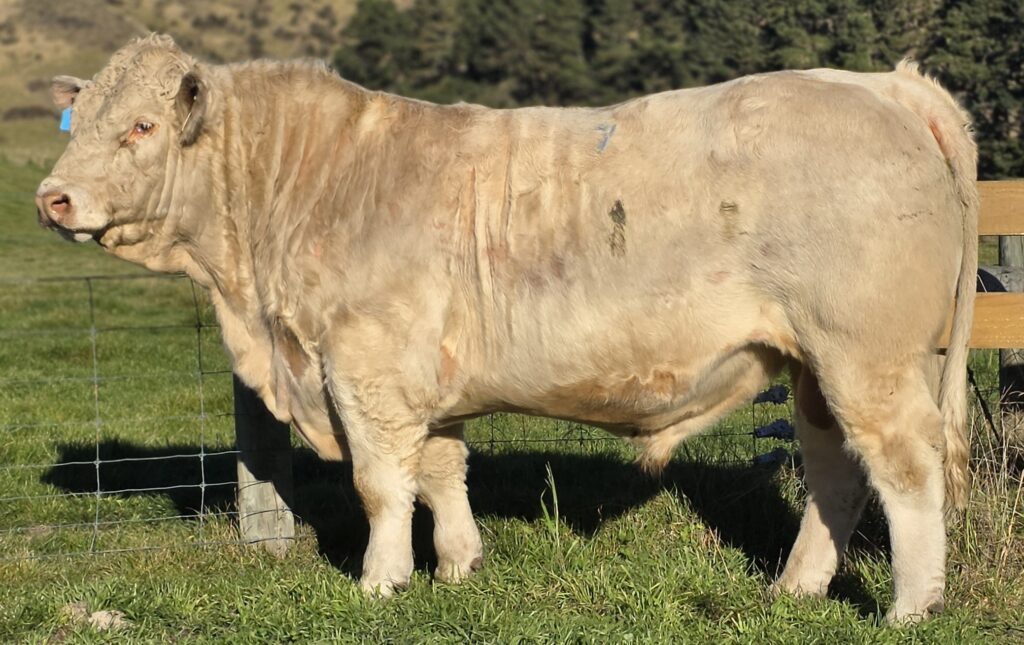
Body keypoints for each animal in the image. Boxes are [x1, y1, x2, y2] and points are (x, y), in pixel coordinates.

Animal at [36, 35, 977, 623]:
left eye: (142, 125)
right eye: (80, 124)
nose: (53, 197)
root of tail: (883, 84)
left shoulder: (365, 369)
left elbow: (382, 486)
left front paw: (381, 582)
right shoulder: (424, 380)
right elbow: (441, 471)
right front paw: (458, 564)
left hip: (868, 357)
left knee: (903, 466)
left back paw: (911, 605)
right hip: (814, 365)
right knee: (835, 473)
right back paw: (797, 588)